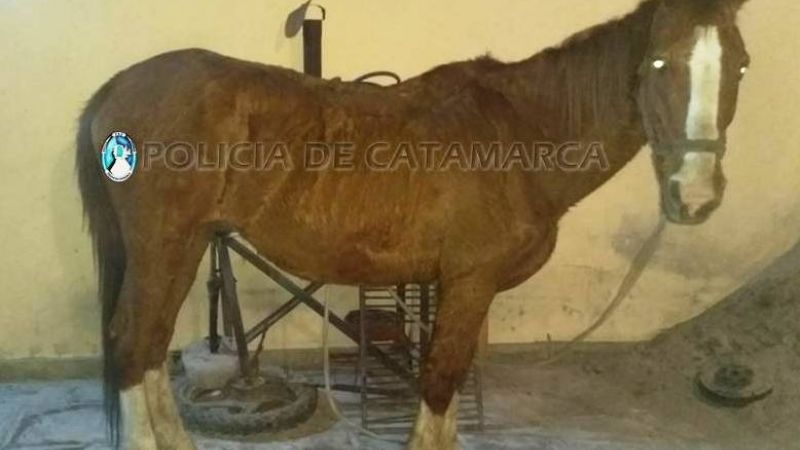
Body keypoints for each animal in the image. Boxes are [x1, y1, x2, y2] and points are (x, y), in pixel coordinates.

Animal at [75, 0, 752, 448]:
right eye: (657, 64)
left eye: (741, 66)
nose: (694, 196)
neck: (520, 135)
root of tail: (119, 87)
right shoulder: (470, 283)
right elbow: (441, 380)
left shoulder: (457, 288)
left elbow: (445, 388)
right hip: (166, 246)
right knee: (134, 343)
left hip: (182, 247)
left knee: (152, 347)